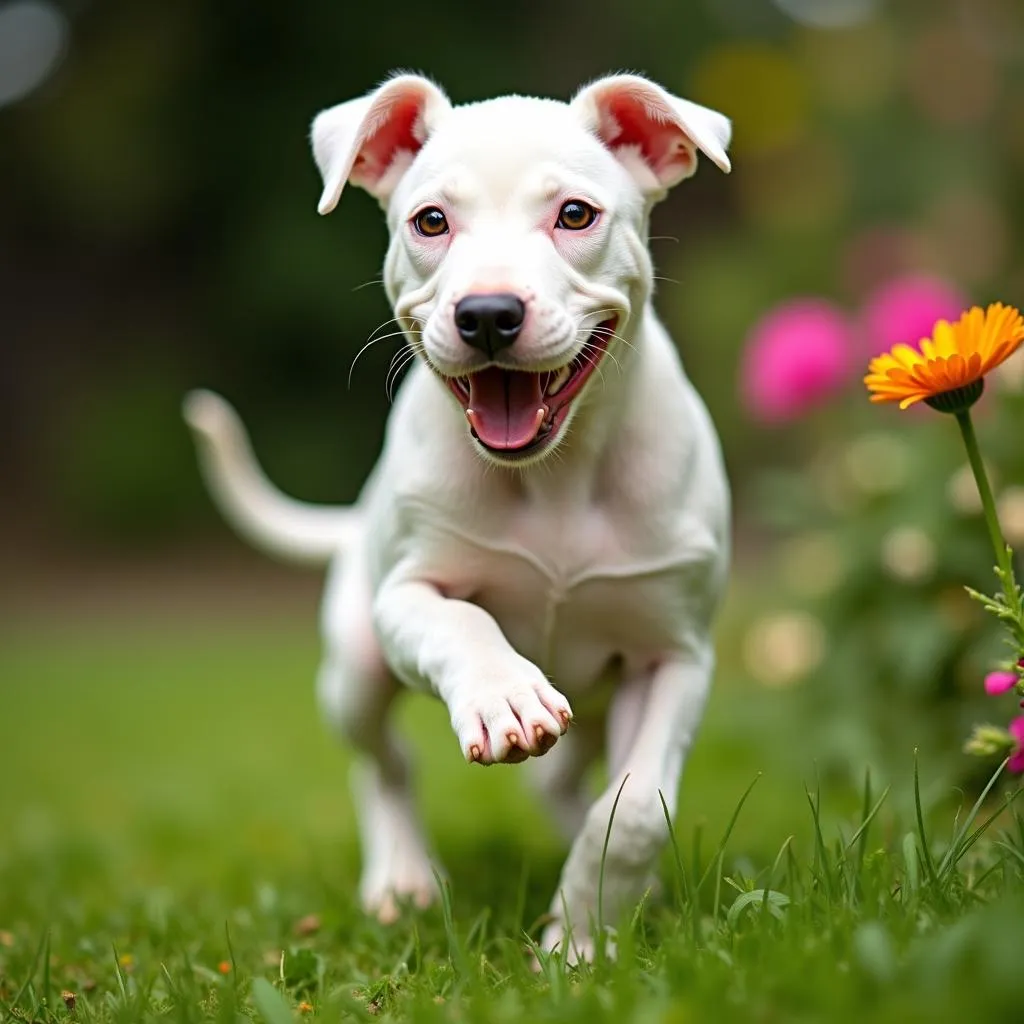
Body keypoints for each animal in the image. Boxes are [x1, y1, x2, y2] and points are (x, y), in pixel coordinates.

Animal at [182, 72, 729, 958]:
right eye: (430, 221)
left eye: (575, 214)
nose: (488, 314)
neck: (554, 475)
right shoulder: (407, 595)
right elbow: (461, 623)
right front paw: (505, 696)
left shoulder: (673, 654)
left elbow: (638, 809)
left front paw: (580, 942)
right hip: (355, 668)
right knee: (385, 760)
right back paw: (402, 876)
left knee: (566, 781)